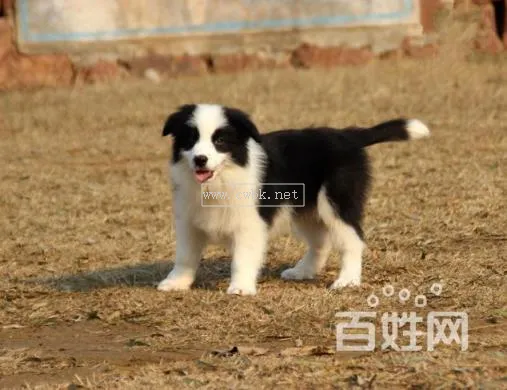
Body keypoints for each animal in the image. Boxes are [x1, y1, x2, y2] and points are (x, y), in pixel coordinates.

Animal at [157, 103, 430, 296]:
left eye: (220, 141)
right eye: (190, 140)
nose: (200, 159)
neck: (223, 176)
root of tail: (346, 136)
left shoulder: (250, 223)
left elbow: (243, 256)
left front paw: (241, 287)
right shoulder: (189, 220)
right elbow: (185, 255)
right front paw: (176, 282)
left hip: (335, 200)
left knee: (352, 240)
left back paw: (348, 280)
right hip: (305, 209)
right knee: (321, 242)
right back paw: (304, 271)